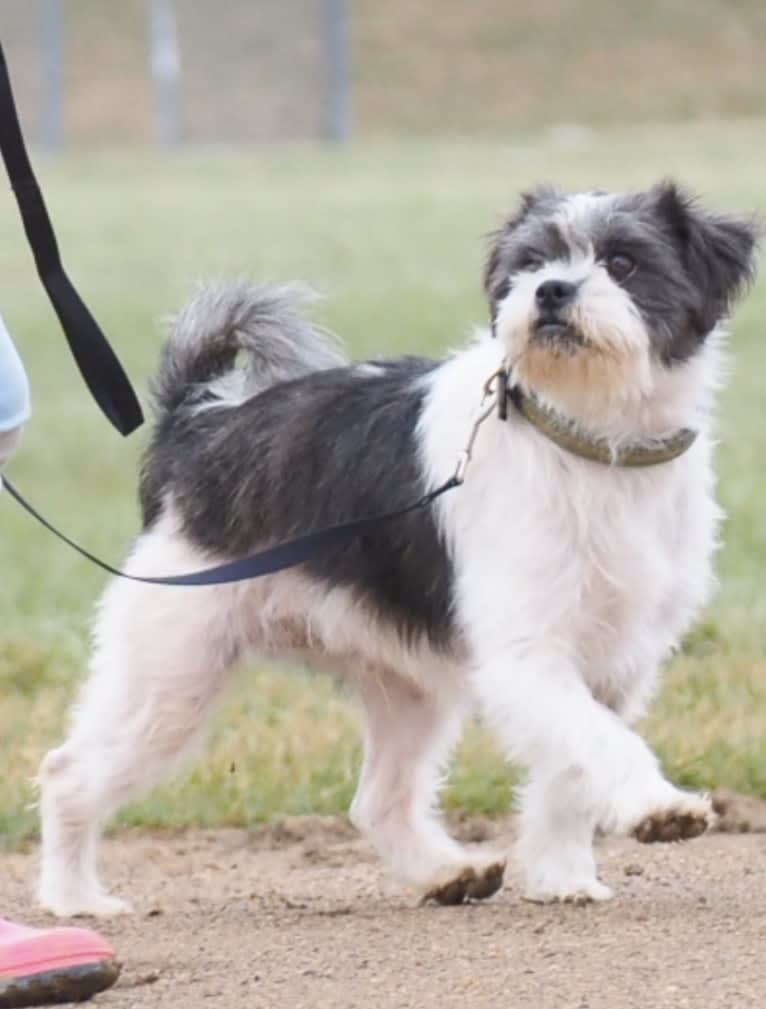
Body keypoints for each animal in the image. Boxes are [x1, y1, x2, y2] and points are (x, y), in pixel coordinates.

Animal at [38, 181, 758, 916]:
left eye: (623, 262)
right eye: (532, 261)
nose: (552, 290)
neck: (585, 438)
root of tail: (200, 422)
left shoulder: (614, 663)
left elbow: (571, 772)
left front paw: (562, 876)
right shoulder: (528, 657)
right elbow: (600, 740)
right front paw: (657, 806)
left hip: (403, 690)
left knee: (377, 800)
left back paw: (445, 872)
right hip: (168, 675)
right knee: (68, 774)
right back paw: (73, 899)